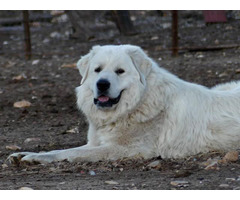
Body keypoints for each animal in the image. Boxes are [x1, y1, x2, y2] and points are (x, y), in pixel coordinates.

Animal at [8, 45, 240, 164]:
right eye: (97, 70)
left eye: (120, 71)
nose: (102, 84)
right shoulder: (95, 143)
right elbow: (66, 148)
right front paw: (24, 155)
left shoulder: (125, 149)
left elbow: (71, 153)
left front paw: (36, 159)